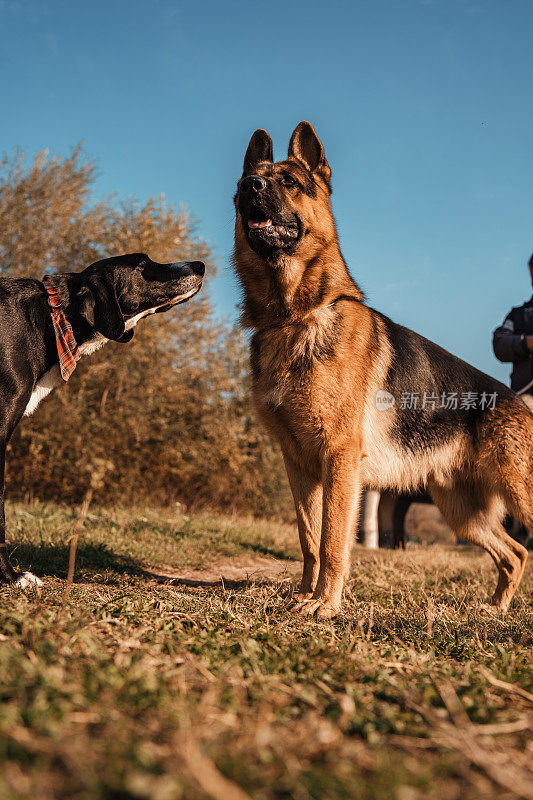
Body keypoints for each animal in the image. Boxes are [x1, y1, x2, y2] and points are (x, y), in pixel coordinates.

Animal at [235, 120, 528, 620]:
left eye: (288, 182)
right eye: (244, 184)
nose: (251, 186)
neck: (295, 316)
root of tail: (521, 403)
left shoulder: (340, 460)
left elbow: (334, 540)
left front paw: (326, 606)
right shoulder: (300, 465)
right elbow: (309, 538)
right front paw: (304, 596)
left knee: (519, 549)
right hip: (462, 514)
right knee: (515, 553)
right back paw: (494, 609)